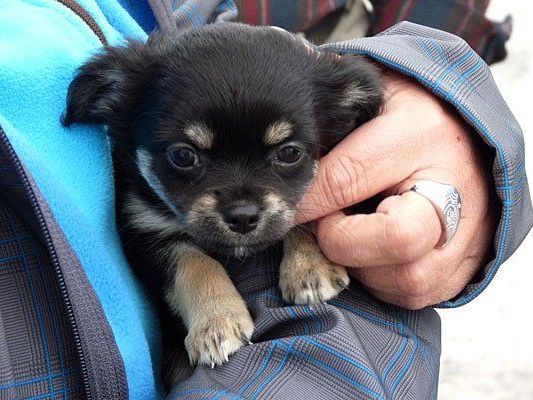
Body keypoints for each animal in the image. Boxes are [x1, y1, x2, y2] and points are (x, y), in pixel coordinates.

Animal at [62, 23, 380, 386]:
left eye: (289, 152)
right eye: (183, 156)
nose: (242, 217)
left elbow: (301, 216)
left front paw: (311, 267)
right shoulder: (144, 231)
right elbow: (196, 263)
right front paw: (217, 321)